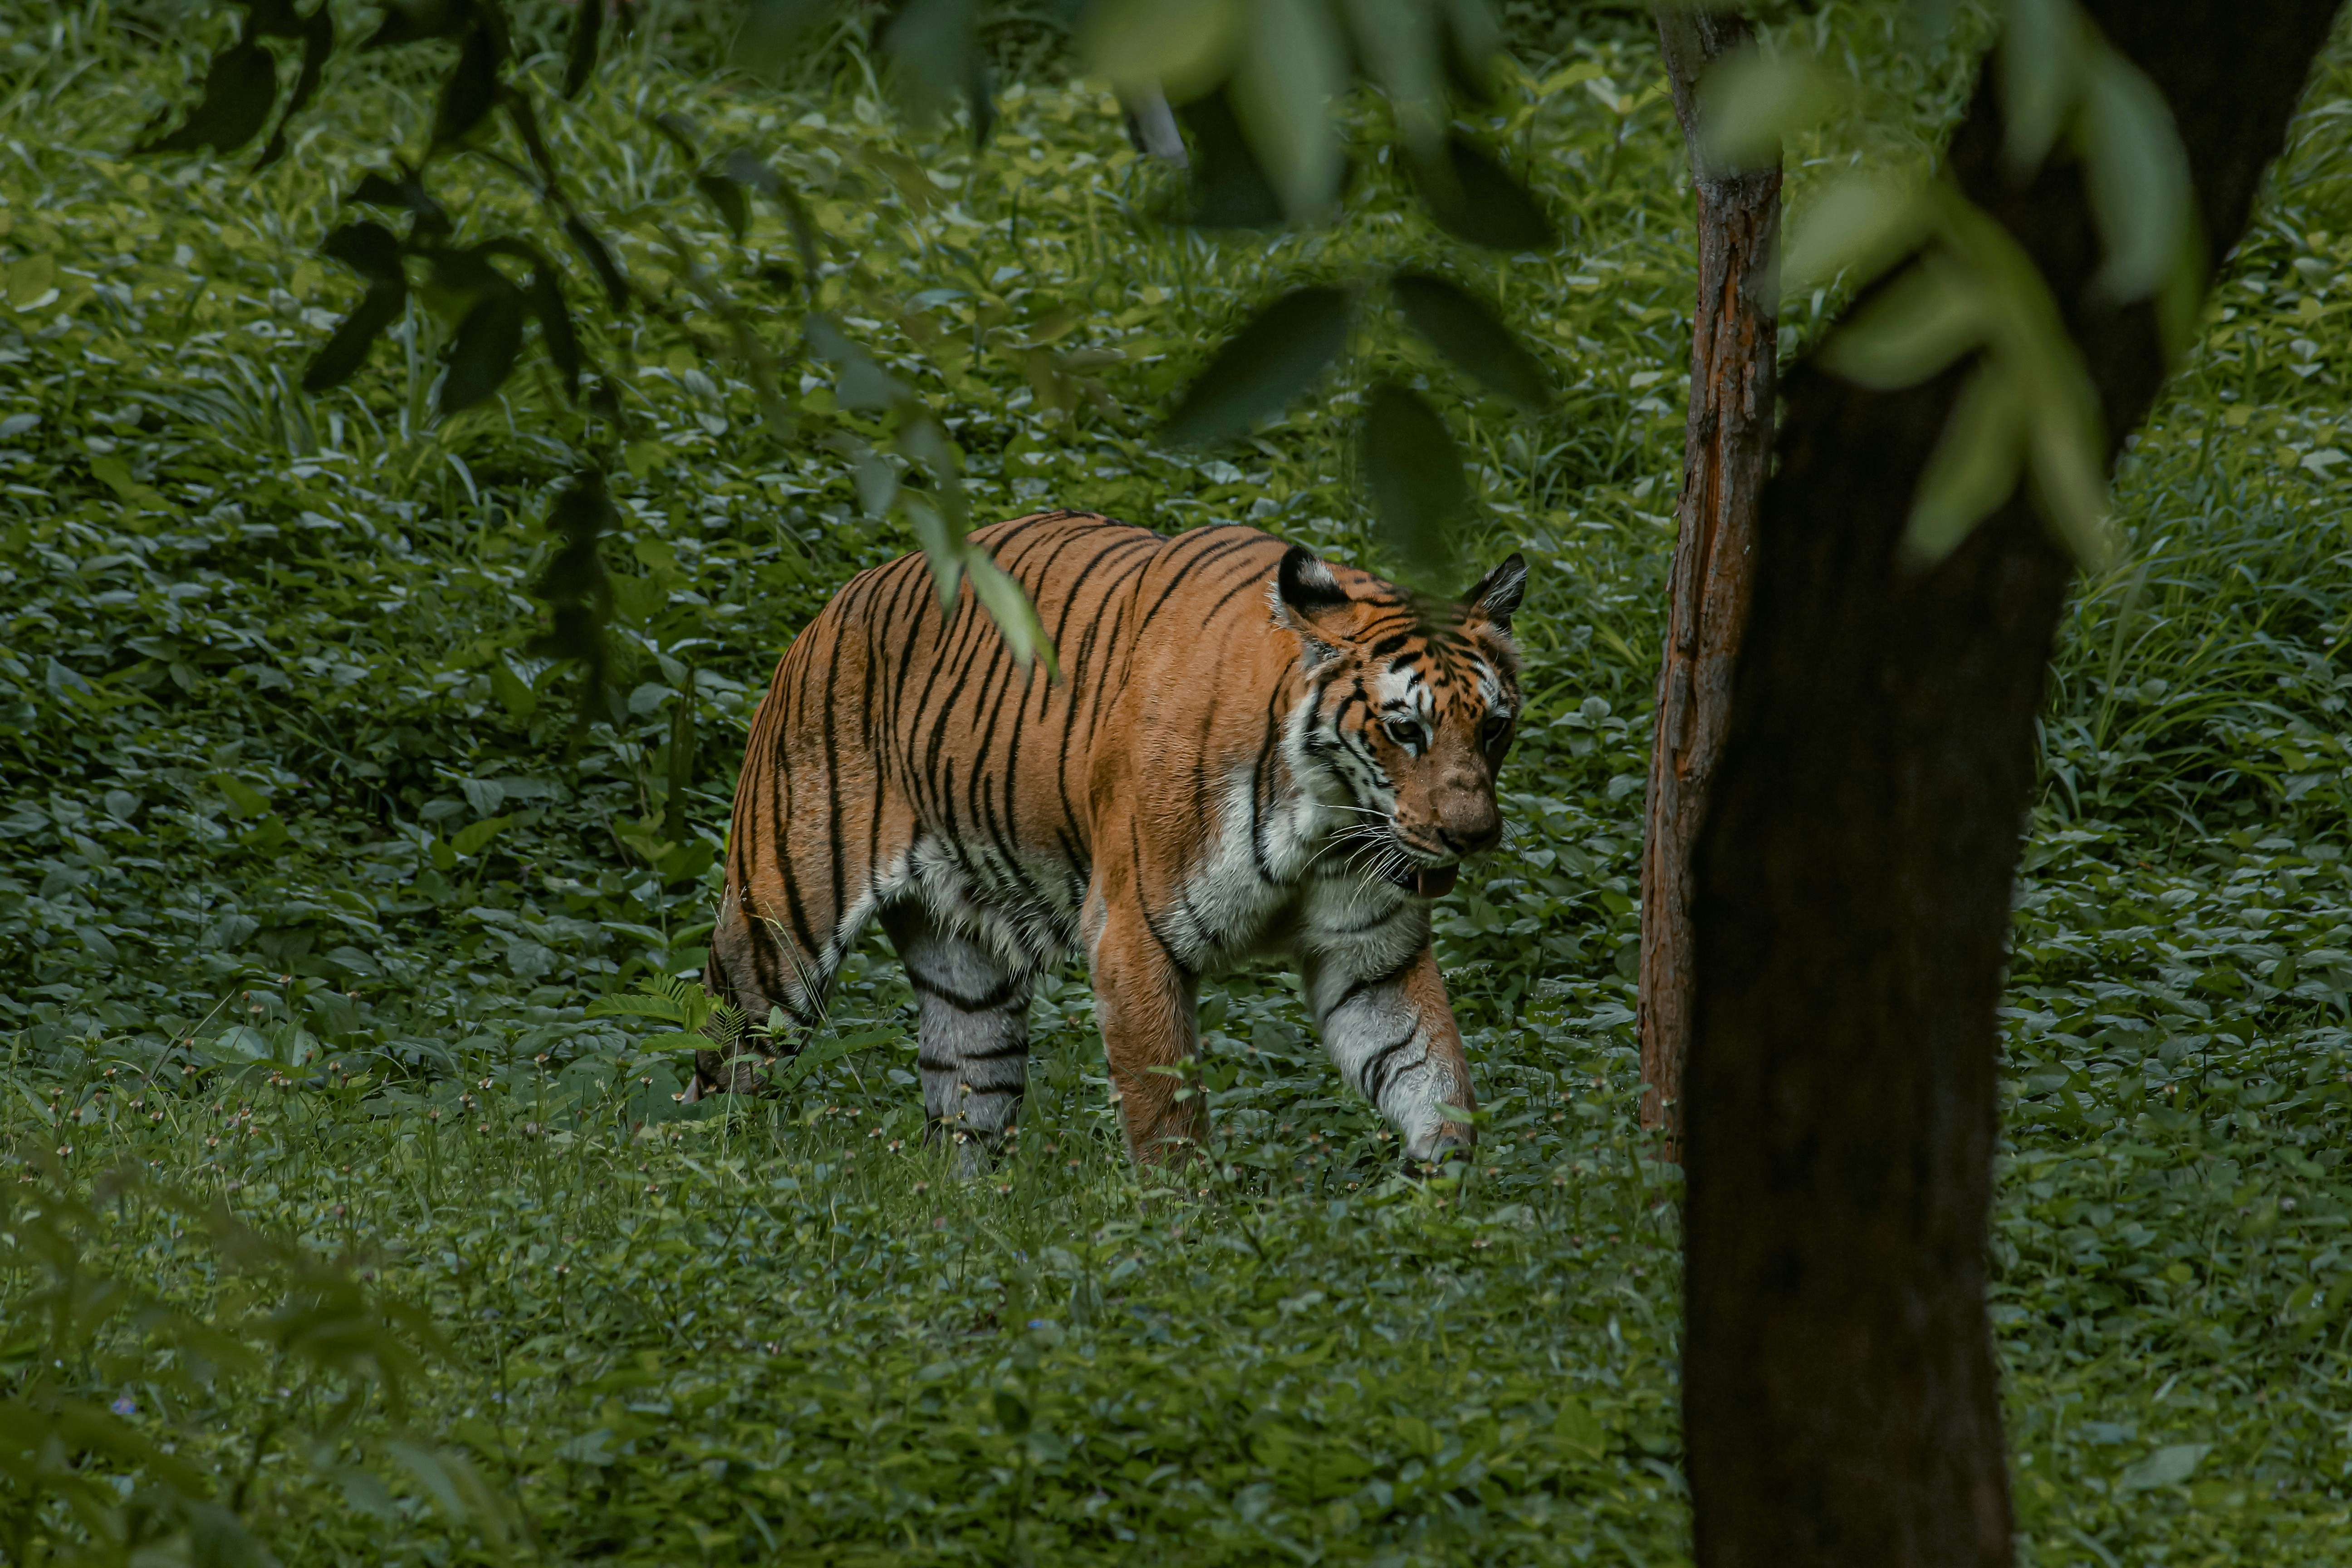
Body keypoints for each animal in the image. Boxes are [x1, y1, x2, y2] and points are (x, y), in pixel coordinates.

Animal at [701, 510, 1527, 1172]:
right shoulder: (1133, 937)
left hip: (969, 983)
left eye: (1493, 727)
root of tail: (841, 597)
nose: (1472, 836)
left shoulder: (1371, 958)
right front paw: (1187, 1232)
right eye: (1405, 729)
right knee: (718, 1067)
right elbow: (1167, 1116)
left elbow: (1431, 1077)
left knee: (962, 1111)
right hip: (776, 937)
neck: (1325, 821)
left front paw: (1441, 1210)